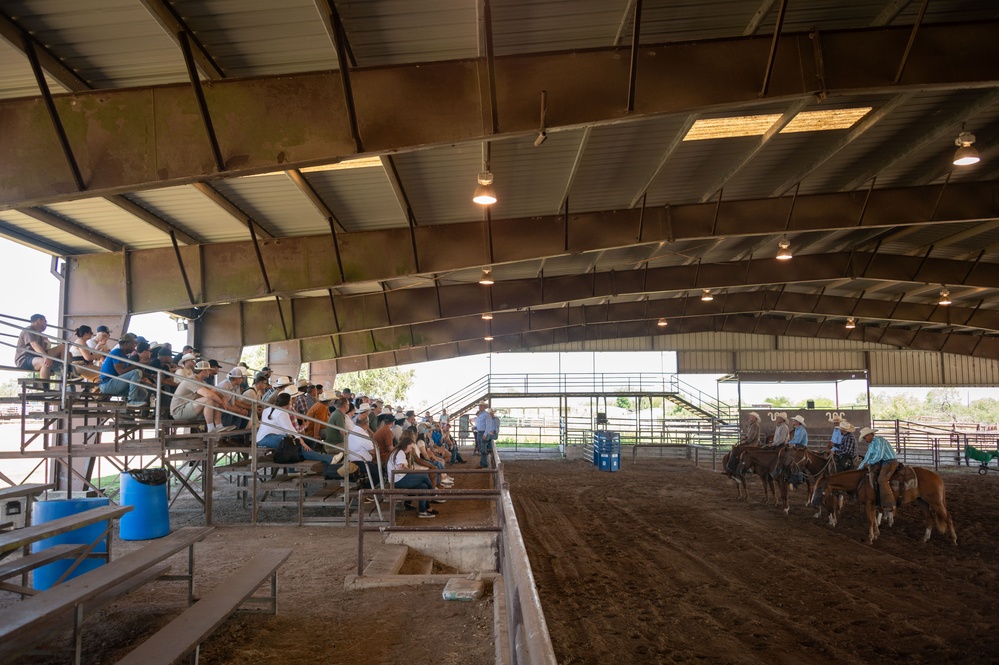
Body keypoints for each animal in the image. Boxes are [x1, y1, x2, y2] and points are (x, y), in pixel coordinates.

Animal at [808, 464, 956, 544]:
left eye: (820, 487)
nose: (813, 502)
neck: (862, 481)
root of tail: (938, 477)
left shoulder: (869, 504)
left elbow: (870, 520)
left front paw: (870, 538)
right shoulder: (873, 505)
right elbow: (874, 520)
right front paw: (876, 534)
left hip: (936, 502)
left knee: (948, 517)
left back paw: (954, 540)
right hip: (923, 501)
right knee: (930, 518)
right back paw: (924, 538)